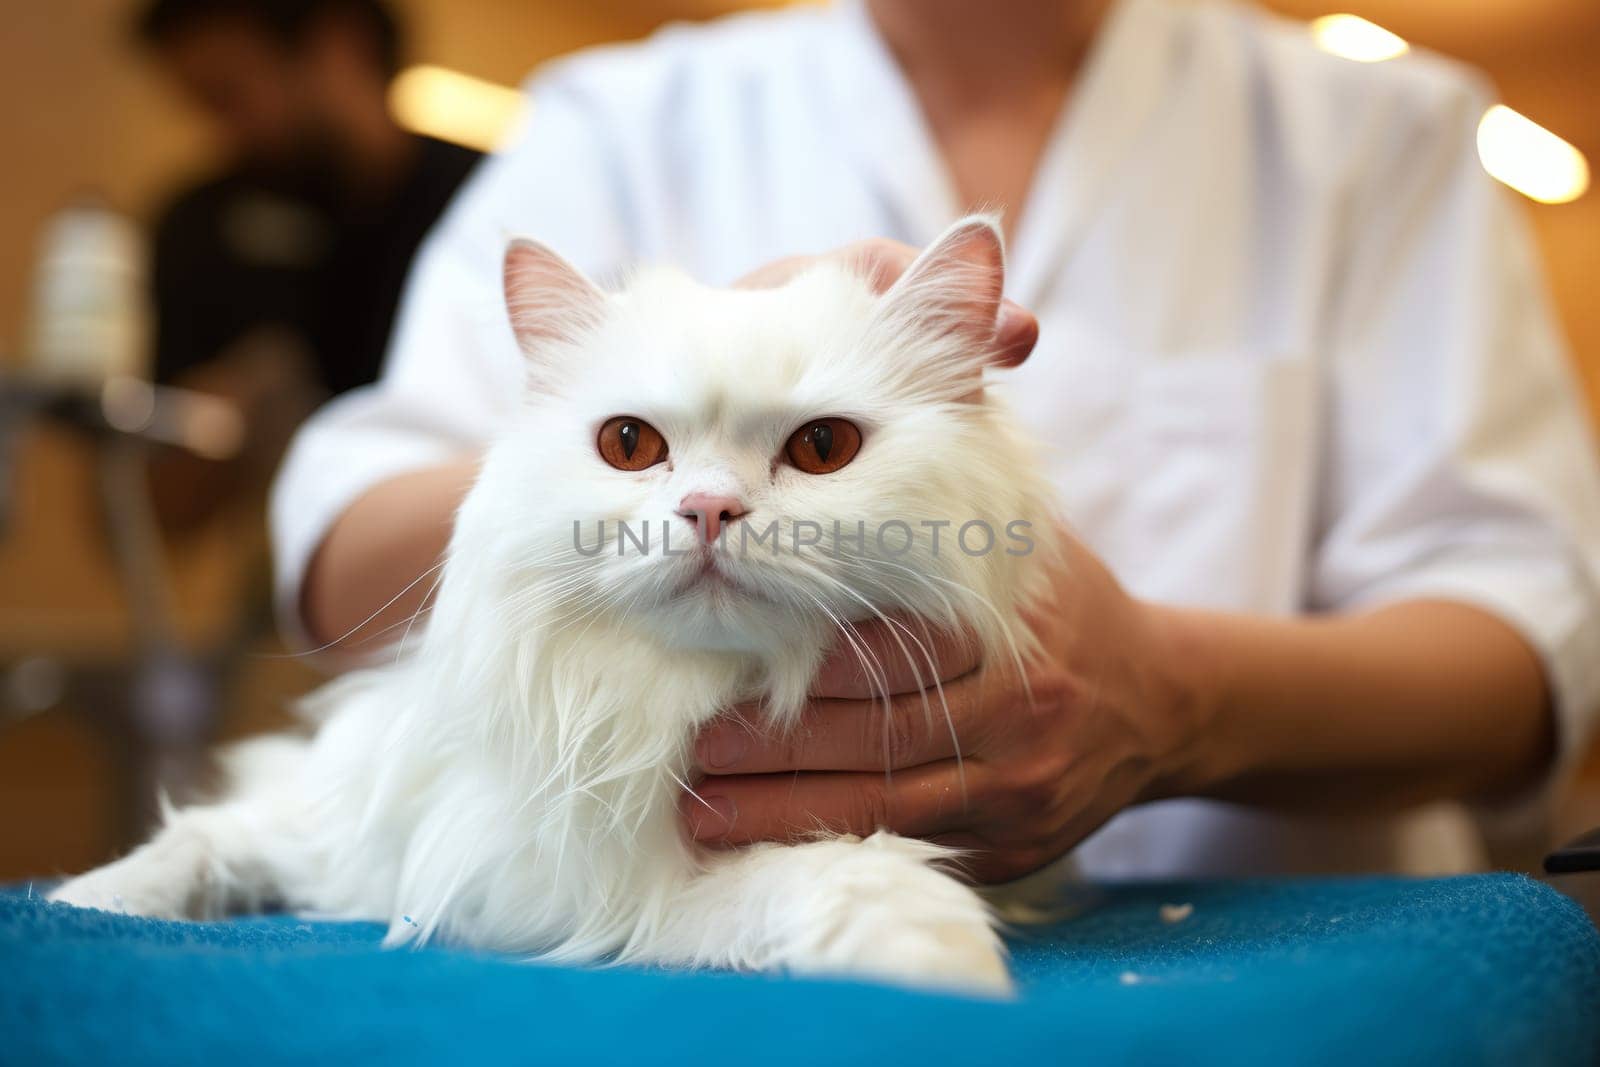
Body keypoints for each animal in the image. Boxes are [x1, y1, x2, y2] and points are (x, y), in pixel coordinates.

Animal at [53, 214, 1062, 991]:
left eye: (822, 448)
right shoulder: (485, 855)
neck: (677, 700)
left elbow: (842, 875)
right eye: (630, 444)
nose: (708, 508)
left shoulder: (645, 896)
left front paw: (939, 965)